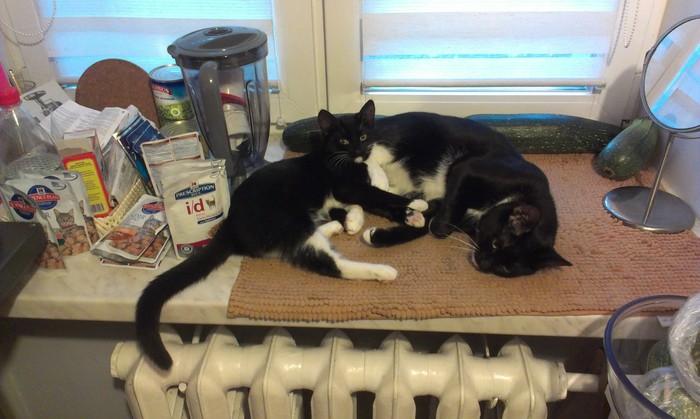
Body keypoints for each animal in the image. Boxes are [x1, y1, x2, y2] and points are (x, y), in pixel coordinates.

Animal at [136, 100, 427, 370]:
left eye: (364, 136)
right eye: (344, 140)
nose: (358, 150)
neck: (340, 160)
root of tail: (230, 222)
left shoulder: (343, 191)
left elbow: (366, 195)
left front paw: (366, 216)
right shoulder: (346, 186)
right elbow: (378, 194)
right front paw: (413, 204)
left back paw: (338, 226)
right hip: (286, 221)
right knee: (326, 261)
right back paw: (383, 271)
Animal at [360, 112, 572, 278]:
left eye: (507, 268)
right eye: (496, 244)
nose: (483, 264)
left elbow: (425, 222)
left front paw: (381, 235)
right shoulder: (467, 169)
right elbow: (450, 208)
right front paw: (436, 227)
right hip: (392, 143)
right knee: (367, 160)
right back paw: (379, 178)